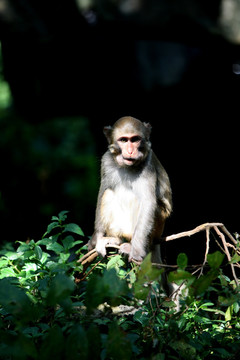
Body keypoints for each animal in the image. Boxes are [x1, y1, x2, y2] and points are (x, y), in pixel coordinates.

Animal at [88, 116, 172, 264]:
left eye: (135, 139)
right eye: (123, 140)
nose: (131, 151)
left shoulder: (148, 165)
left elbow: (148, 202)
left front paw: (137, 251)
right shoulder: (106, 161)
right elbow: (103, 190)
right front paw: (94, 239)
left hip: (158, 225)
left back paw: (134, 246)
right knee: (109, 193)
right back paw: (115, 239)